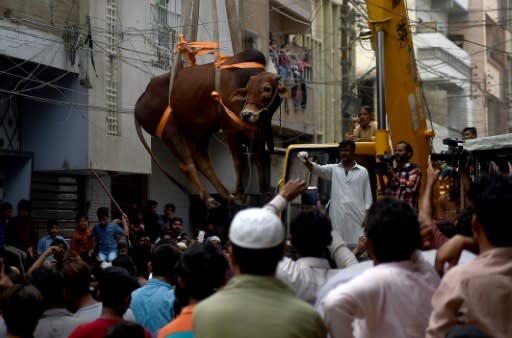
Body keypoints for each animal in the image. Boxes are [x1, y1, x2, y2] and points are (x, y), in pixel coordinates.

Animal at [134, 48, 286, 209]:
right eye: (248, 89)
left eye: (267, 88)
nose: (246, 114)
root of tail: (140, 101)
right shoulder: (230, 131)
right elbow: (239, 162)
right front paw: (240, 194)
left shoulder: (258, 134)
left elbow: (260, 161)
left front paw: (265, 193)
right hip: (170, 132)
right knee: (186, 164)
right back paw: (210, 198)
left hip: (196, 134)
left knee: (204, 164)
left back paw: (225, 196)